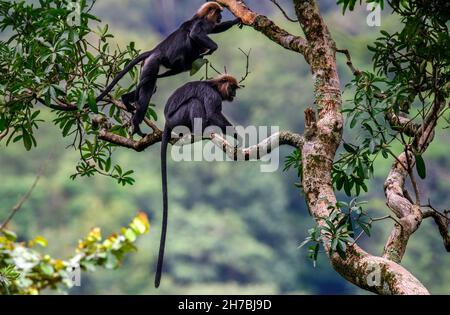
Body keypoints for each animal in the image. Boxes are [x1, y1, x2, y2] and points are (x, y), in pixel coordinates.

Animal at [96, 1, 243, 137]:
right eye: (219, 13)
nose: (221, 17)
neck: (201, 17)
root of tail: (154, 51)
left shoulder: (209, 25)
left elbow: (215, 28)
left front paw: (236, 20)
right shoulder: (202, 23)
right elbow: (195, 35)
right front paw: (212, 48)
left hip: (147, 66)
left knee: (149, 86)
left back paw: (125, 99)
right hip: (153, 63)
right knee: (148, 90)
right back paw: (137, 123)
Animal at [156, 74, 243, 288]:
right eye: (233, 89)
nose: (235, 95)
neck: (214, 86)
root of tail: (166, 121)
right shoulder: (213, 96)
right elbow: (212, 112)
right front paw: (236, 134)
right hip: (178, 118)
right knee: (195, 103)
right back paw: (199, 129)